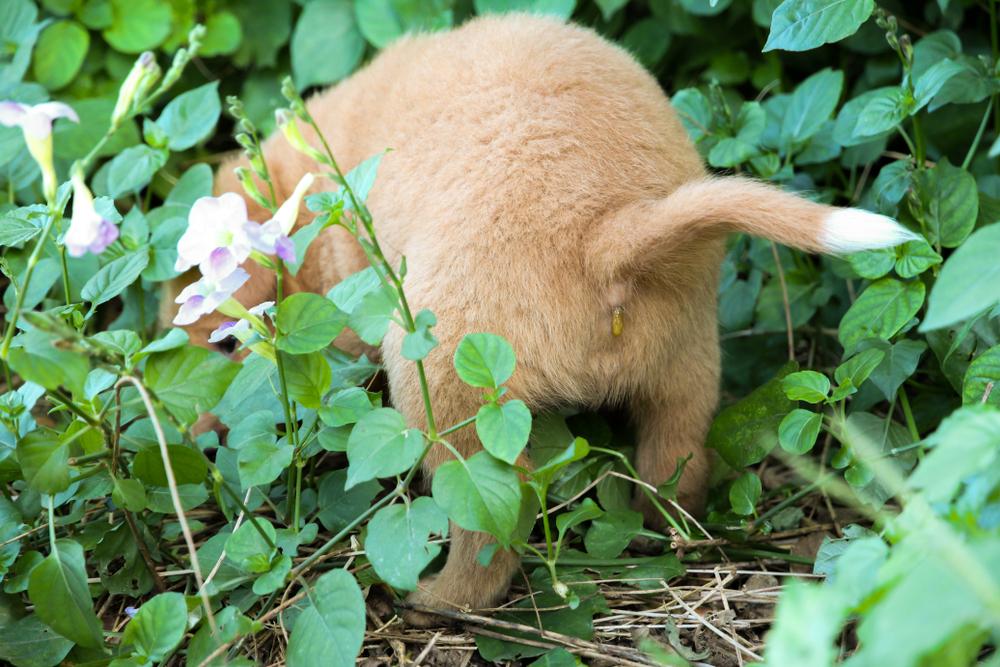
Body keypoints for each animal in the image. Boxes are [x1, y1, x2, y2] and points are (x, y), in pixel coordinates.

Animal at [166, 11, 916, 628]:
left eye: (225, 344)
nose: (190, 445)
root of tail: (609, 230)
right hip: (685, 363)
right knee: (678, 464)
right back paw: (661, 533)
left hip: (443, 395)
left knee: (493, 535)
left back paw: (433, 600)